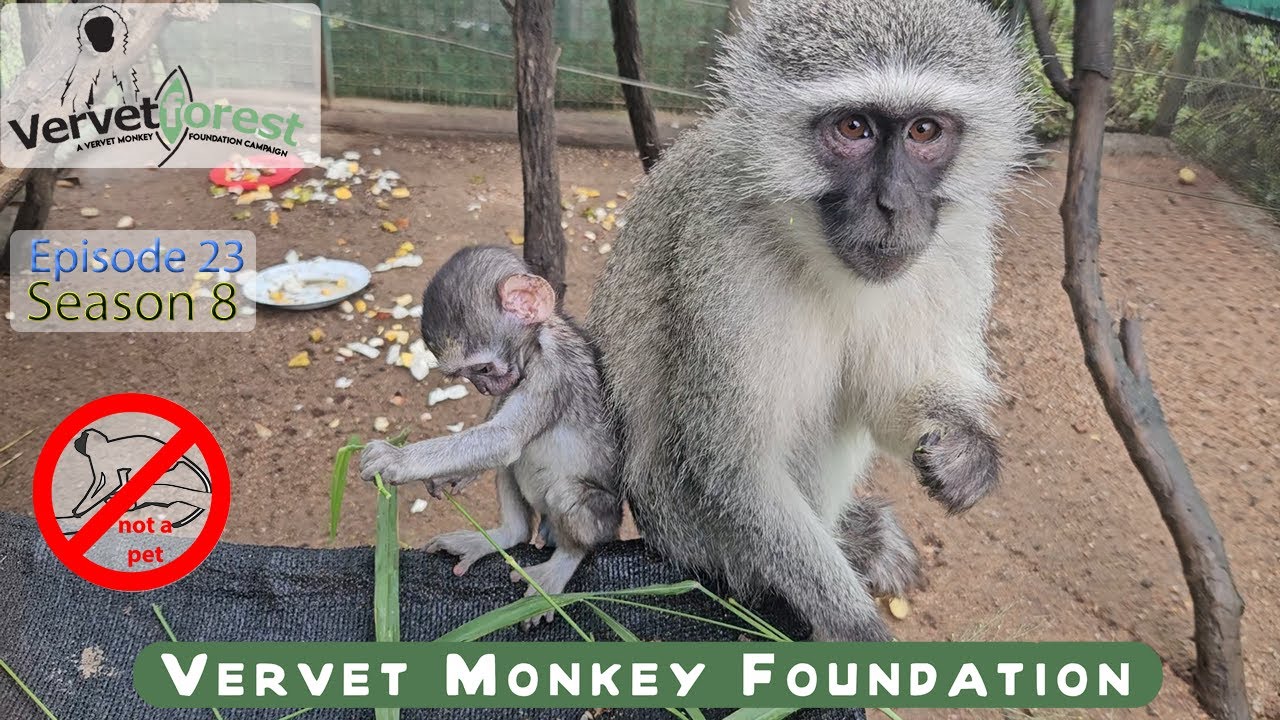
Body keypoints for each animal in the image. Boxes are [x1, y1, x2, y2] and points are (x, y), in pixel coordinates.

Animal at [360, 246, 621, 624]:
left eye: (483, 368)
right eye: (468, 377)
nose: (483, 388)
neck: (539, 341)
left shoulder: (552, 369)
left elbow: (505, 438)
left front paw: (397, 458)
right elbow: (497, 432)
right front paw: (456, 473)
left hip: (602, 516)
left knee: (565, 493)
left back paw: (565, 560)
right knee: (511, 473)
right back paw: (506, 535)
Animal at [586, 0, 1032, 642]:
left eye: (924, 131)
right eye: (854, 129)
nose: (894, 206)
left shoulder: (958, 245)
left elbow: (885, 398)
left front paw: (963, 448)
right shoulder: (725, 252)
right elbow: (737, 470)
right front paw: (856, 629)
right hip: (685, 528)